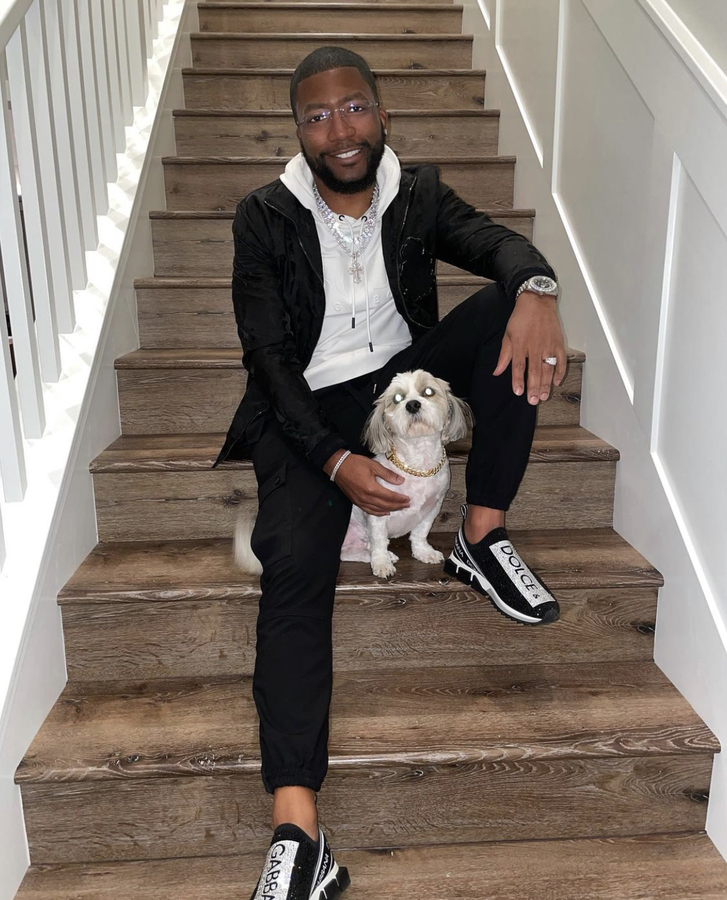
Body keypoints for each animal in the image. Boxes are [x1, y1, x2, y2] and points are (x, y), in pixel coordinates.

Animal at [234, 370, 472, 579]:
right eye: (397, 398)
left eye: (428, 392)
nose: (412, 404)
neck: (417, 463)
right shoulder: (378, 512)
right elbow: (379, 540)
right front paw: (382, 564)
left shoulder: (432, 507)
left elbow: (420, 534)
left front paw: (424, 552)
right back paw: (384, 556)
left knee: (351, 553)